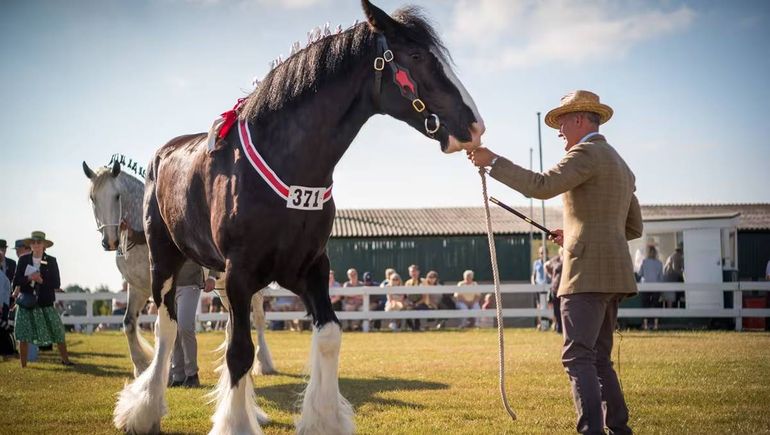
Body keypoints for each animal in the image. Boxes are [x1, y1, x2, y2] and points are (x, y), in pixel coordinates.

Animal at [83, 161, 276, 378]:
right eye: (93, 198)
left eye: (117, 196)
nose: (109, 241)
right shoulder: (138, 288)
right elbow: (130, 323)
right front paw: (141, 367)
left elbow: (162, 327)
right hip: (223, 286)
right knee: (231, 321)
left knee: (258, 316)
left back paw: (263, 364)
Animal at [113, 2, 484, 433]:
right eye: (417, 56)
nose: (474, 125)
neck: (287, 162)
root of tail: (164, 153)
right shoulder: (241, 271)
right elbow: (239, 352)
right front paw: (235, 423)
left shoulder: (308, 268)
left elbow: (328, 335)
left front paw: (322, 418)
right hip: (165, 260)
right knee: (167, 326)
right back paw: (145, 410)